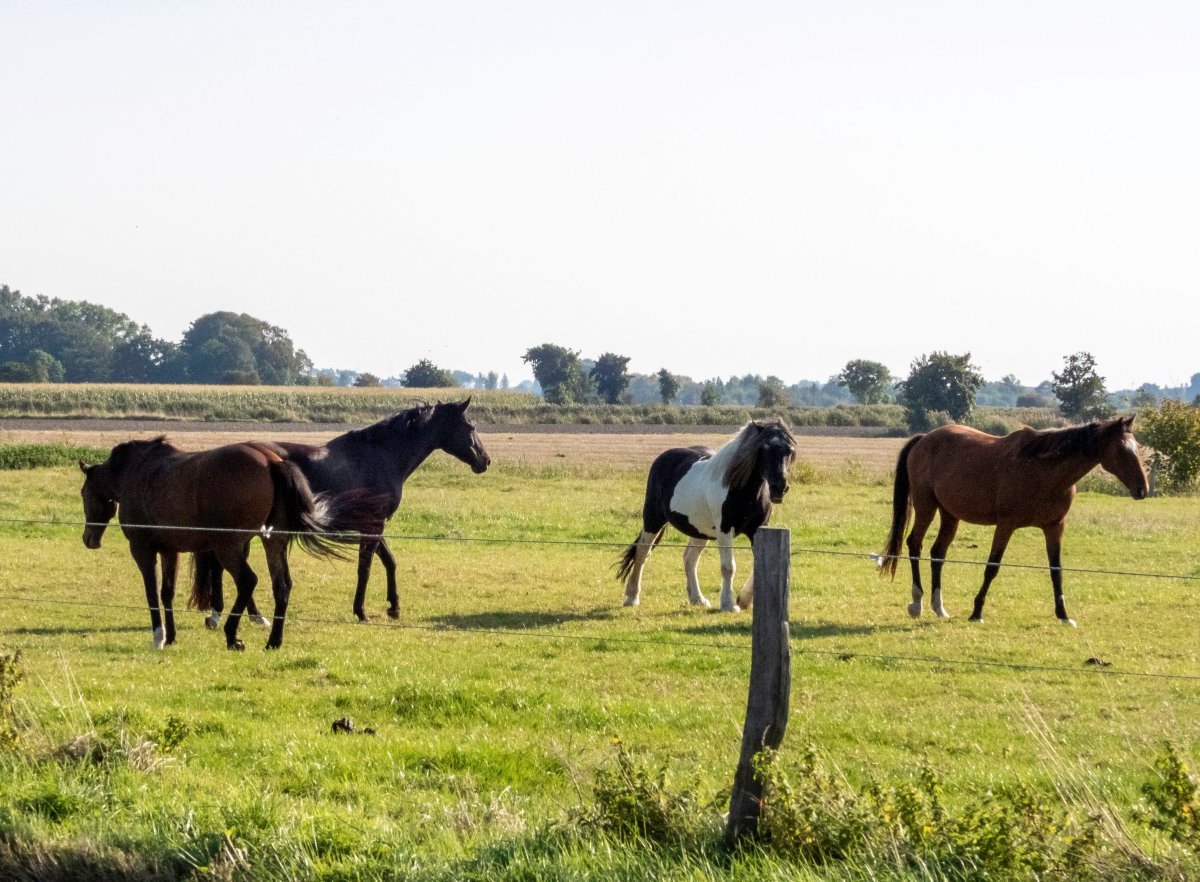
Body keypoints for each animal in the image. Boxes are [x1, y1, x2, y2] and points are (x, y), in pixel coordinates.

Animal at [80, 439, 345, 652]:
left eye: (84, 493)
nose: (88, 538)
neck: (135, 471)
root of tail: (271, 461)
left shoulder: (143, 550)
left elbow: (152, 594)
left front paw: (159, 637)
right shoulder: (170, 551)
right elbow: (167, 593)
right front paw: (171, 636)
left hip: (227, 548)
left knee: (248, 580)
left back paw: (232, 635)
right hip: (272, 542)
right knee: (281, 586)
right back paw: (273, 641)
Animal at [193, 400, 492, 619]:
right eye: (471, 425)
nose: (485, 460)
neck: (381, 456)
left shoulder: (373, 525)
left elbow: (390, 561)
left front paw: (394, 607)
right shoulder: (372, 526)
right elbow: (365, 568)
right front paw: (361, 611)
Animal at [619, 420, 796, 614]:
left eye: (789, 450)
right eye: (763, 448)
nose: (779, 487)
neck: (741, 488)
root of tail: (664, 457)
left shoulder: (758, 530)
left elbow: (759, 564)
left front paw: (743, 600)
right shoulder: (724, 530)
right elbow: (728, 567)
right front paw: (728, 604)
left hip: (699, 530)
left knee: (689, 559)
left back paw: (698, 598)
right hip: (653, 520)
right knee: (642, 552)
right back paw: (632, 597)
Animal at [878, 417, 1147, 624]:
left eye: (1137, 446)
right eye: (1122, 450)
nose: (1142, 489)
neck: (1044, 471)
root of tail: (924, 439)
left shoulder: (1054, 527)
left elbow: (1056, 570)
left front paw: (1063, 615)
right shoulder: (1006, 525)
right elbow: (992, 567)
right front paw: (976, 612)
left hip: (950, 515)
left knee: (937, 554)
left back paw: (939, 607)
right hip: (926, 506)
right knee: (915, 544)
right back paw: (917, 603)